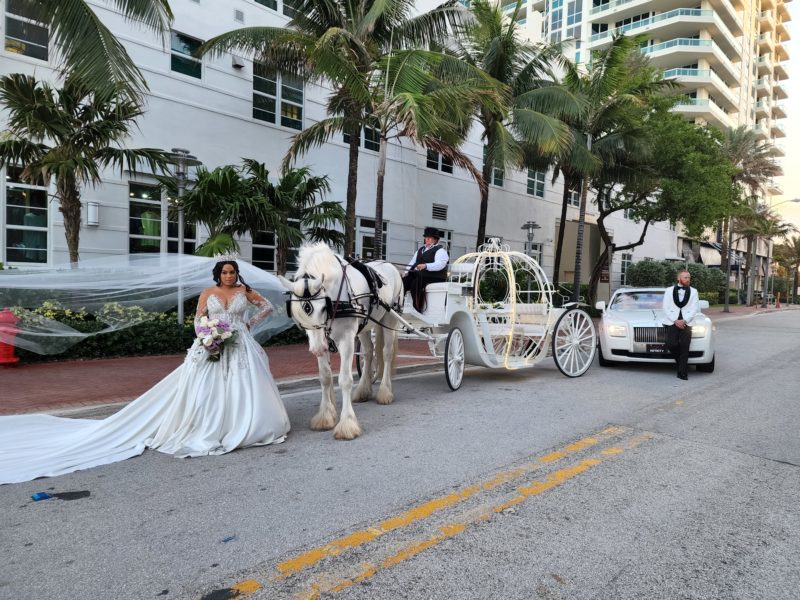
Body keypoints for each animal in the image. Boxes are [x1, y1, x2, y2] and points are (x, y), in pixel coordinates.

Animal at [282, 241, 406, 438]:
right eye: (297, 312)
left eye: (323, 307)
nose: (317, 349)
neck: (336, 299)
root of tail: (389, 265)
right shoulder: (322, 340)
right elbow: (325, 377)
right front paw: (325, 415)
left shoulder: (347, 339)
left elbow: (345, 380)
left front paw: (347, 423)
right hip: (365, 327)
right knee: (369, 352)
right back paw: (363, 390)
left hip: (390, 318)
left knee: (386, 353)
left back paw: (385, 392)